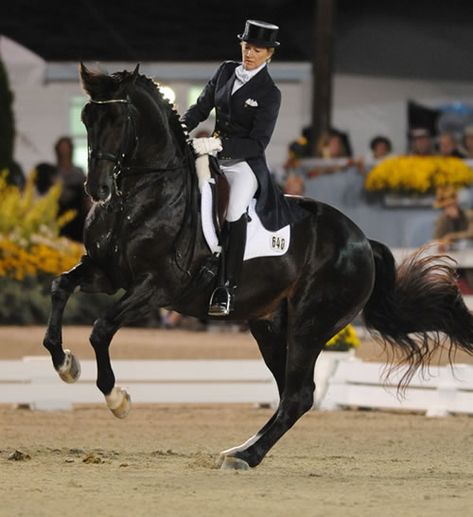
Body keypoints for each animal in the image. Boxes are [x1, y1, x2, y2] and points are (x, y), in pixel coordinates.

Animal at [42, 64, 472, 468]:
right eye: (86, 119)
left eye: (119, 120)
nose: (97, 189)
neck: (139, 198)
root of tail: (363, 241)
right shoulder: (106, 272)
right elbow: (61, 287)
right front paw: (65, 363)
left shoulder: (156, 287)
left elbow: (101, 328)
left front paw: (117, 398)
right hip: (269, 324)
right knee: (289, 393)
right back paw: (241, 449)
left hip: (310, 325)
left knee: (299, 394)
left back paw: (246, 456)